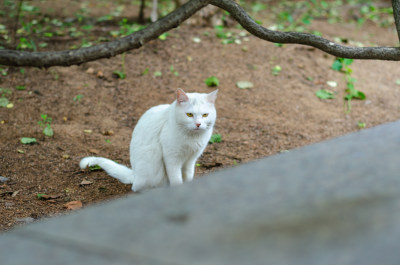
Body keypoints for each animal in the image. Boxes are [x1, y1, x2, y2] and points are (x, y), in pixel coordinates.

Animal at [79, 88, 217, 190]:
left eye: (205, 115)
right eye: (189, 114)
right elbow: (177, 180)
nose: (198, 124)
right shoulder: (172, 158)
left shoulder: (191, 159)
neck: (192, 138)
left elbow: (188, 176)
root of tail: (135, 175)